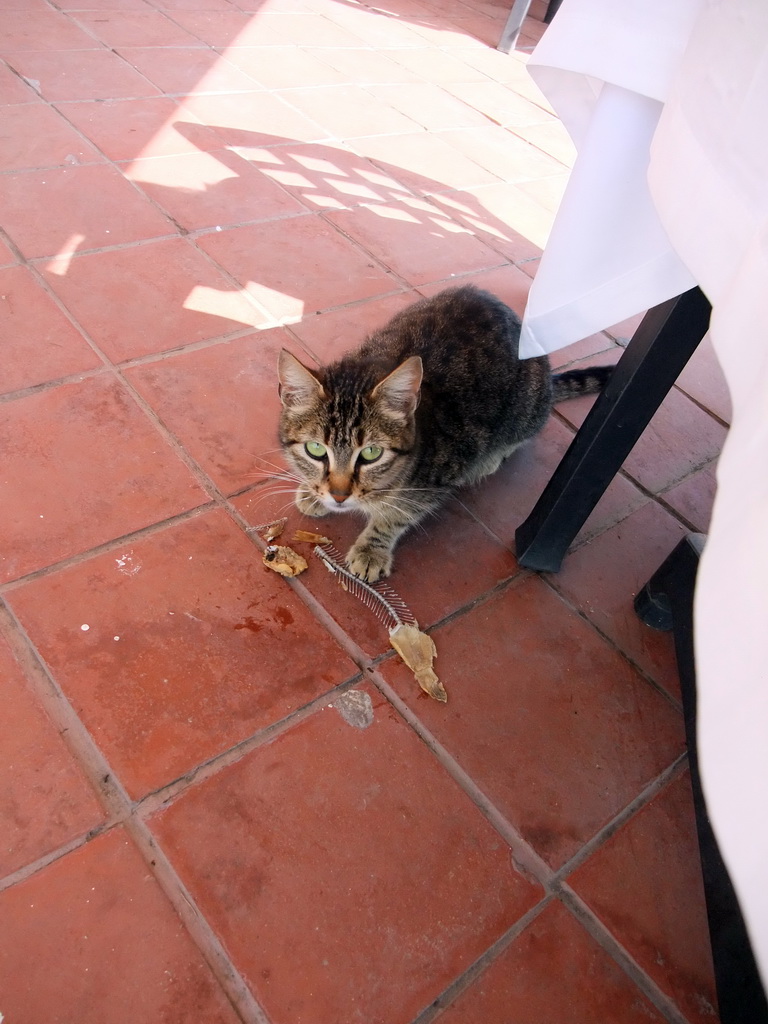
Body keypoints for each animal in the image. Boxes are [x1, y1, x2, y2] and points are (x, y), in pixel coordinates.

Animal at [278, 286, 614, 585]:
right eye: (315, 449)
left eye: (371, 454)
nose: (338, 495)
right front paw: (313, 492)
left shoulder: (439, 477)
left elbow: (397, 515)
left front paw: (372, 549)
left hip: (527, 411)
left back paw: (492, 459)